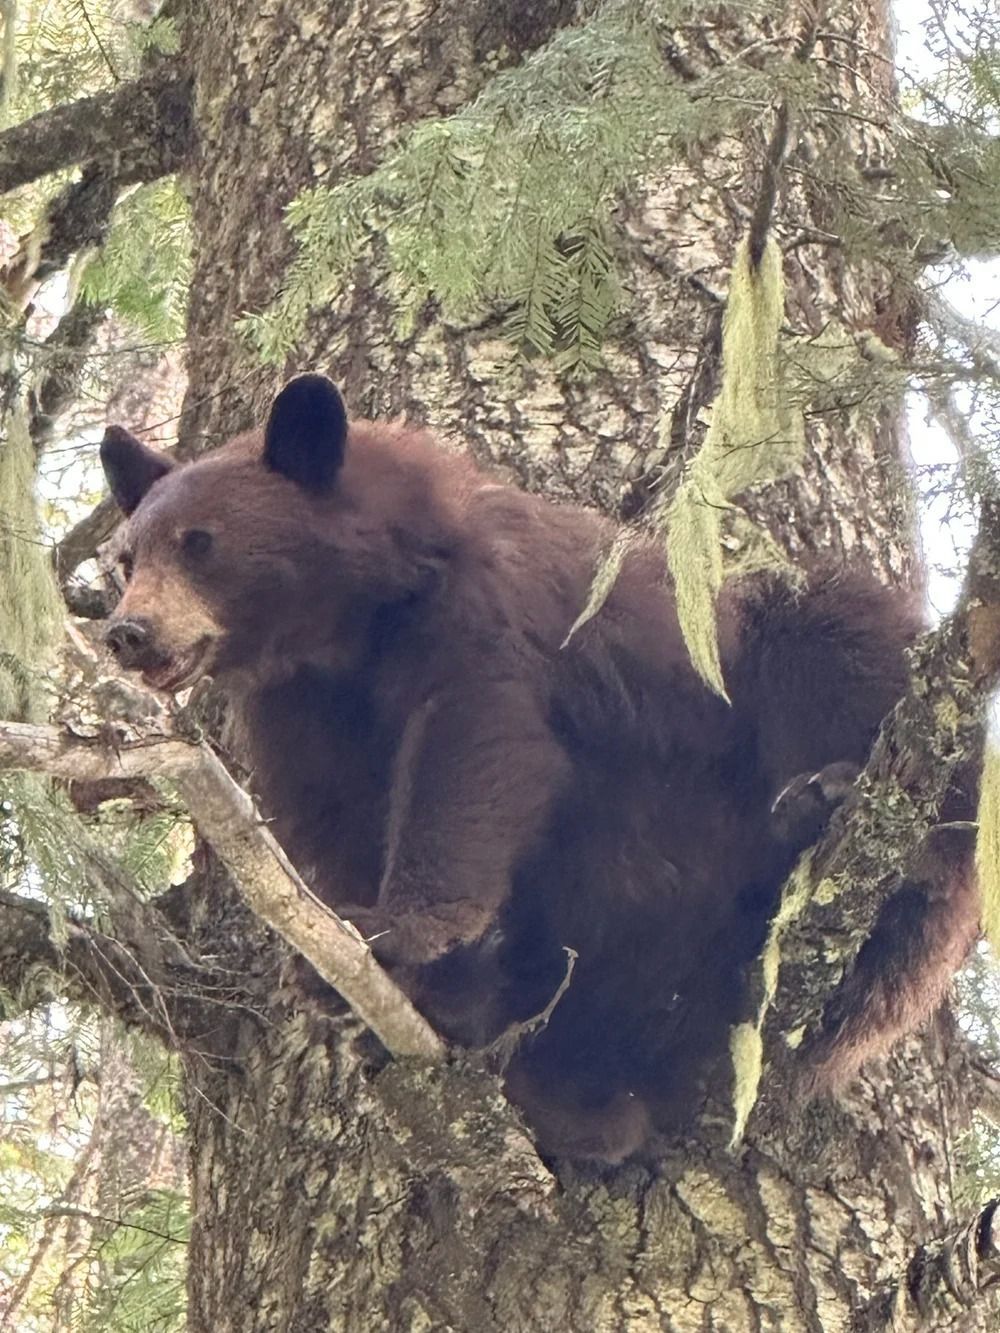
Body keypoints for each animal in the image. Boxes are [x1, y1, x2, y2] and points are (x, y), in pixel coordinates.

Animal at [100, 373, 980, 1162]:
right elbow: (330, 817)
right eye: (126, 556)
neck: (354, 623)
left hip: (775, 674)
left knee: (844, 655)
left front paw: (394, 931)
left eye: (200, 541)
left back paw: (830, 806)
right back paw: (569, 1093)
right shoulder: (300, 710)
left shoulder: (486, 613)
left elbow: (474, 749)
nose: (128, 632)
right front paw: (378, 976)